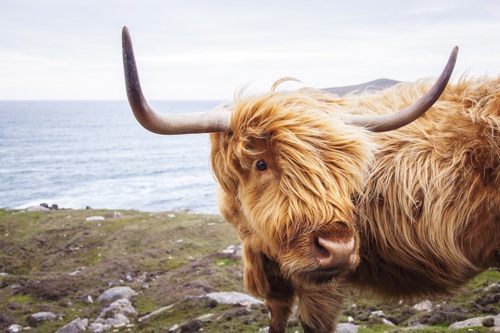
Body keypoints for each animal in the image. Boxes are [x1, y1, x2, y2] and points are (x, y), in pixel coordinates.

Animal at [122, 26, 500, 332]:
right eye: (261, 163)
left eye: (350, 167)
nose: (339, 248)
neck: (257, 239)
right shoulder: (270, 273)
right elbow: (276, 316)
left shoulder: (322, 282)